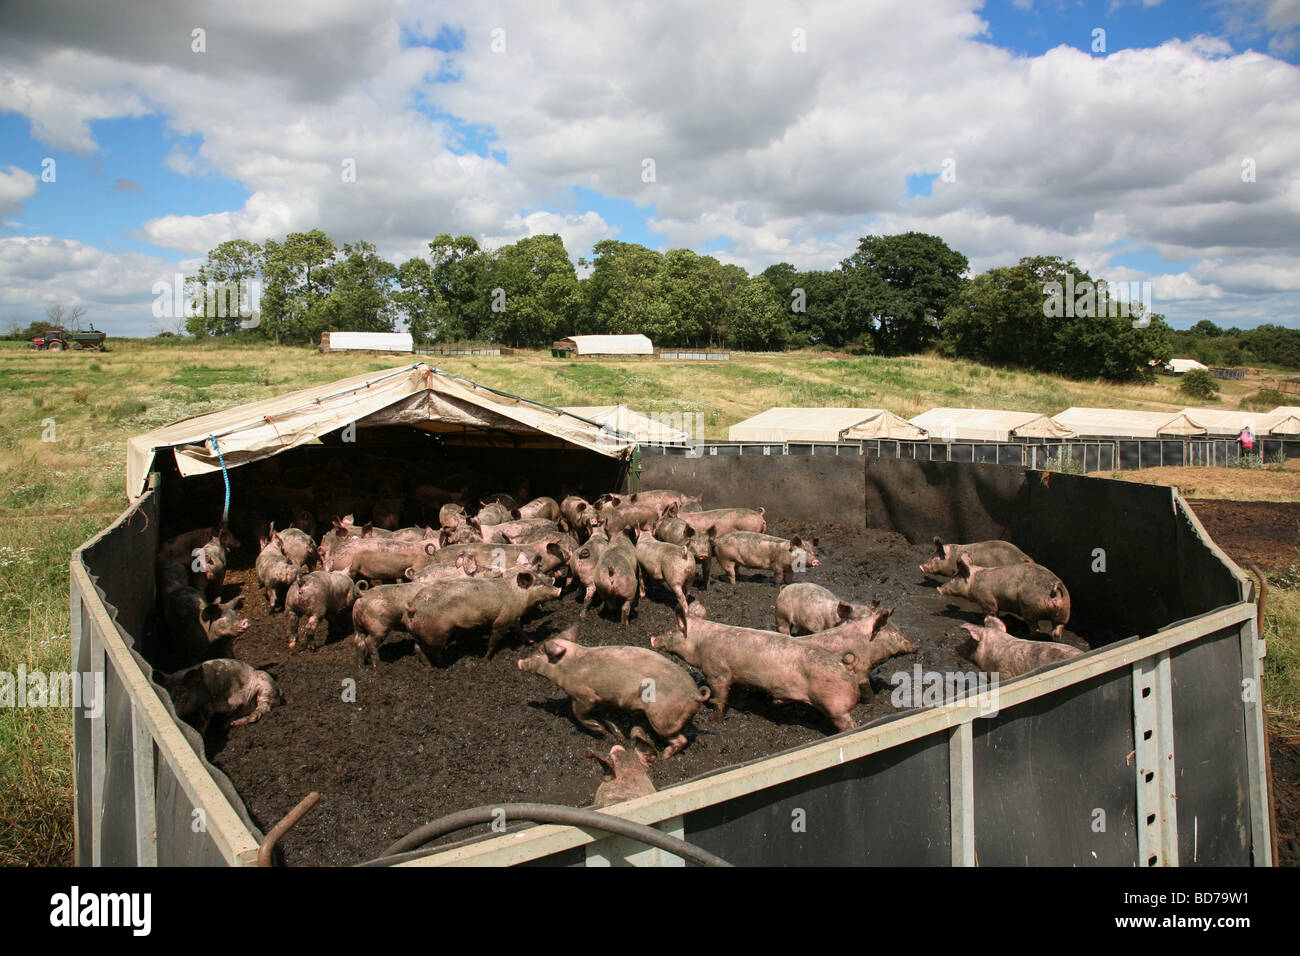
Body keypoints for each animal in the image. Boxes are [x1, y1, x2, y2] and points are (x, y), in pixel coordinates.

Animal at [401, 570, 563, 661]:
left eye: (546, 580)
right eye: (538, 583)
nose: (559, 590)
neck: (516, 594)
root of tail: (413, 606)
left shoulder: (512, 617)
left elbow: (519, 629)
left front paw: (530, 642)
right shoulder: (502, 620)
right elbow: (494, 639)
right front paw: (485, 658)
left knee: (417, 648)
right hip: (437, 633)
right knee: (432, 651)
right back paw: (444, 664)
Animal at [517, 626, 708, 756]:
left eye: (538, 654)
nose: (519, 662)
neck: (569, 666)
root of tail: (695, 695)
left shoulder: (584, 696)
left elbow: (578, 713)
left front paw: (600, 731)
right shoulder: (604, 699)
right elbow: (608, 717)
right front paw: (619, 737)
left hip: (662, 719)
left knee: (680, 739)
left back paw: (665, 756)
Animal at [650, 609, 860, 732]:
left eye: (671, 631)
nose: (652, 639)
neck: (699, 643)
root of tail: (845, 665)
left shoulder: (717, 671)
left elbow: (720, 696)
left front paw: (716, 720)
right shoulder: (741, 677)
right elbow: (738, 694)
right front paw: (738, 706)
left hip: (835, 704)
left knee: (848, 723)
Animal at [937, 553, 1071, 639]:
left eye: (953, 579)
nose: (939, 588)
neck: (974, 582)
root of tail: (1054, 590)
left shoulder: (987, 600)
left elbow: (991, 612)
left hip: (1030, 606)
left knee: (1035, 628)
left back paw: (1024, 635)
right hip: (1064, 611)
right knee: (1057, 629)